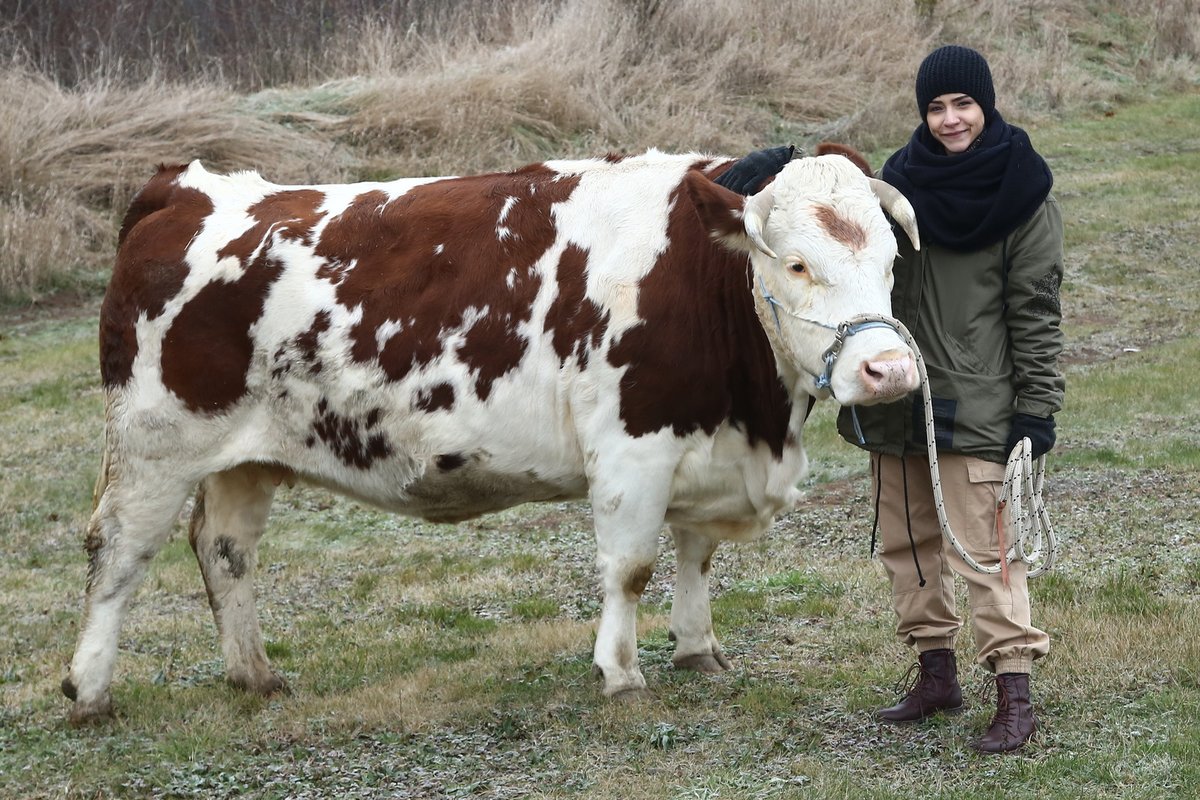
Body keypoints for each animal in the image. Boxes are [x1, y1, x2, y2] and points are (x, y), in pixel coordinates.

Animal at [60, 145, 916, 724]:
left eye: (890, 260)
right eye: (798, 264)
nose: (887, 369)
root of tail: (182, 188)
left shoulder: (705, 442)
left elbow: (695, 556)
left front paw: (698, 651)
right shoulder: (633, 446)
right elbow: (631, 567)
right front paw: (621, 673)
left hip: (244, 459)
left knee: (225, 549)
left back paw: (255, 676)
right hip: (152, 445)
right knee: (119, 553)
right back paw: (89, 690)